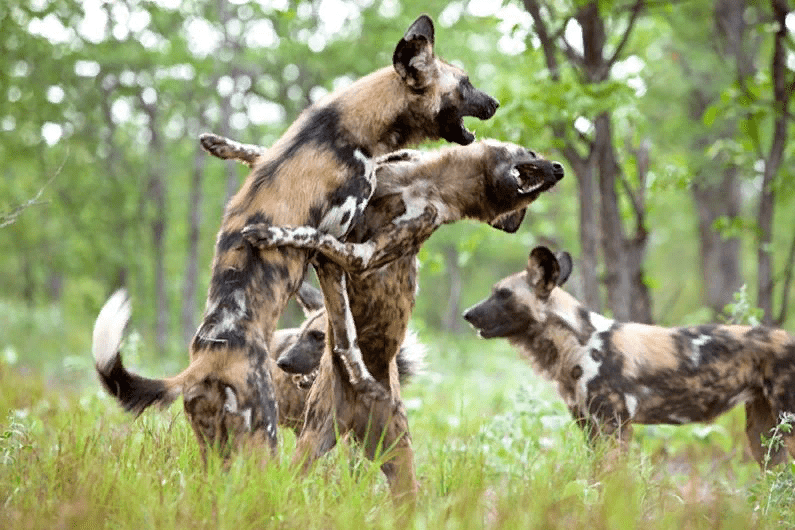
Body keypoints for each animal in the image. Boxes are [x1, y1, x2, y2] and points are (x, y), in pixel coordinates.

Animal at [91, 12, 498, 458]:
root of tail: (197, 369)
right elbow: (344, 333)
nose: (495, 103)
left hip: (214, 453)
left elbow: (257, 152)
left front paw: (220, 144)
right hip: (262, 441)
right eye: (465, 84)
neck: (344, 127)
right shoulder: (336, 250)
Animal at [213, 136, 564, 500]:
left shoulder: (361, 256)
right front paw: (223, 146)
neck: (431, 183)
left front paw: (270, 233)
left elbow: (313, 234)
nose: (559, 170)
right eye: (532, 154)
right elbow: (263, 155)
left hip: (395, 464)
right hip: (312, 446)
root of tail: (359, 413)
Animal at [464, 245, 795, 468]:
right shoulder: (589, 427)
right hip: (764, 436)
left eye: (503, 294)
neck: (575, 344)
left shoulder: (612, 426)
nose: (467, 314)